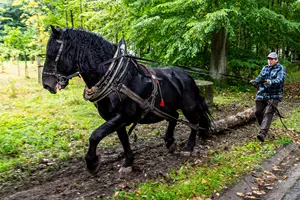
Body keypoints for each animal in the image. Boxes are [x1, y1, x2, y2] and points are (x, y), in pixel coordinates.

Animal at [42, 26, 212, 173]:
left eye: (52, 54)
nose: (46, 84)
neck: (116, 78)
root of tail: (187, 76)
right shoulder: (115, 118)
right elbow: (123, 139)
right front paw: (128, 162)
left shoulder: (124, 116)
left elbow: (95, 135)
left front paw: (92, 163)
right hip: (166, 107)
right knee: (174, 117)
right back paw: (169, 141)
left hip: (189, 107)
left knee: (194, 123)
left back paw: (188, 148)